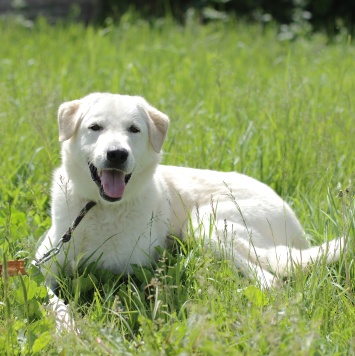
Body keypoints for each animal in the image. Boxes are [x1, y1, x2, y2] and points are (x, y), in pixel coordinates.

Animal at [35, 93, 344, 330]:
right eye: (95, 127)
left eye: (134, 130)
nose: (117, 154)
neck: (100, 208)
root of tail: (296, 225)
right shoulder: (41, 270)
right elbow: (52, 302)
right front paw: (68, 328)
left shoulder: (133, 273)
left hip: (205, 224)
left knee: (270, 280)